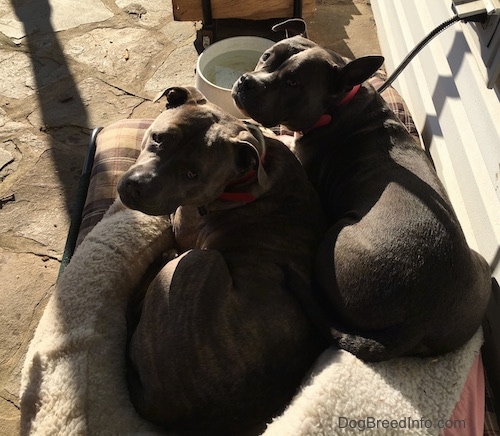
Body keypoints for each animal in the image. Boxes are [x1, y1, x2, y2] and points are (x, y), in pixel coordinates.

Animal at [232, 35, 490, 362]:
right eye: (267, 56)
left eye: (293, 83)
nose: (246, 81)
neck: (338, 104)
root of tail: (418, 321)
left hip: (334, 238)